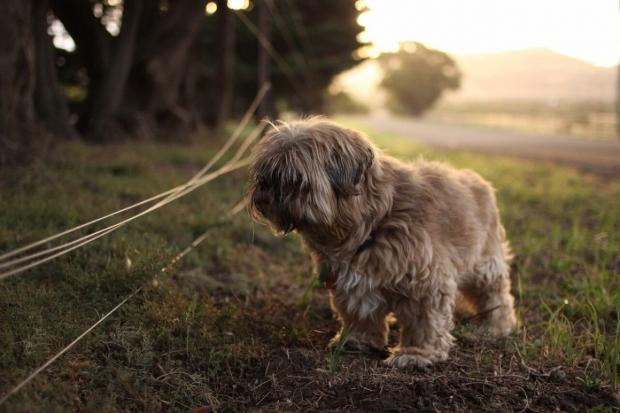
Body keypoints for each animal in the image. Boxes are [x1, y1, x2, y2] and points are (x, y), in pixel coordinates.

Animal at [248, 117, 520, 366]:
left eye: (293, 177)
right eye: (265, 171)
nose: (265, 183)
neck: (374, 217)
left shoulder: (426, 282)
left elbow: (424, 320)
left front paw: (416, 354)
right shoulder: (349, 280)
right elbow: (358, 311)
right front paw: (358, 340)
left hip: (484, 264)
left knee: (496, 295)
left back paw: (495, 326)